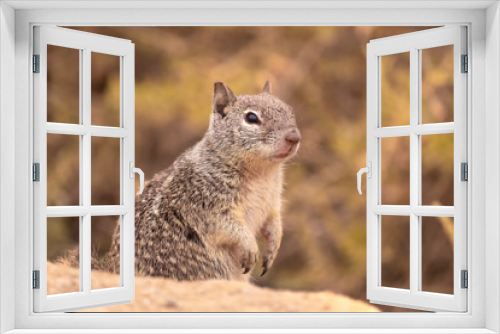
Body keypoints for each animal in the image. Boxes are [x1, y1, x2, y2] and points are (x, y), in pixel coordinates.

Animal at [107, 80, 298, 280]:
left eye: (290, 111)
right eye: (251, 118)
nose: (294, 138)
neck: (262, 174)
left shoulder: (272, 203)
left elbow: (273, 224)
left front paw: (273, 248)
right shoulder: (204, 202)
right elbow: (228, 227)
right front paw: (250, 247)